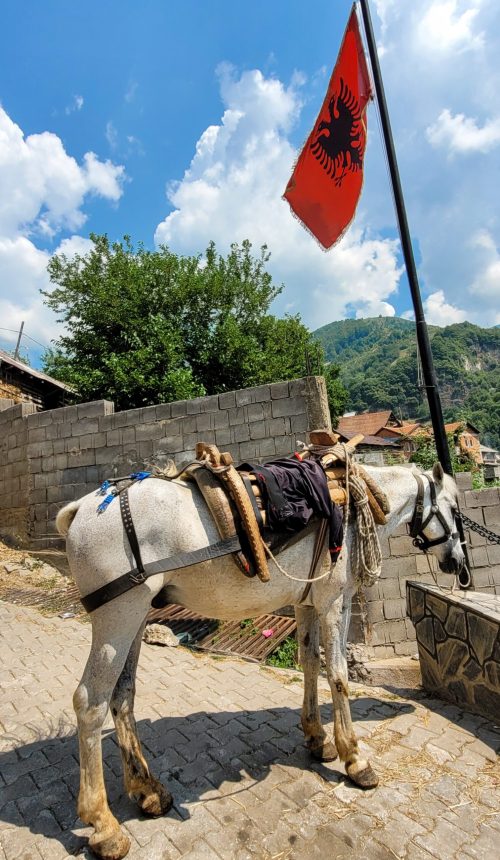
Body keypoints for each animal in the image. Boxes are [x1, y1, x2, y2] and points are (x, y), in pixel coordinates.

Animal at [56, 464, 462, 860]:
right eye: (455, 510)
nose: (458, 562)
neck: (351, 497)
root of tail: (82, 508)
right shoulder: (334, 600)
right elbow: (338, 675)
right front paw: (354, 758)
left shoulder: (306, 600)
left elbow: (309, 662)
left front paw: (317, 737)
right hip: (118, 615)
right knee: (90, 703)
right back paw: (104, 826)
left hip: (138, 615)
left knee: (122, 694)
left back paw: (147, 789)